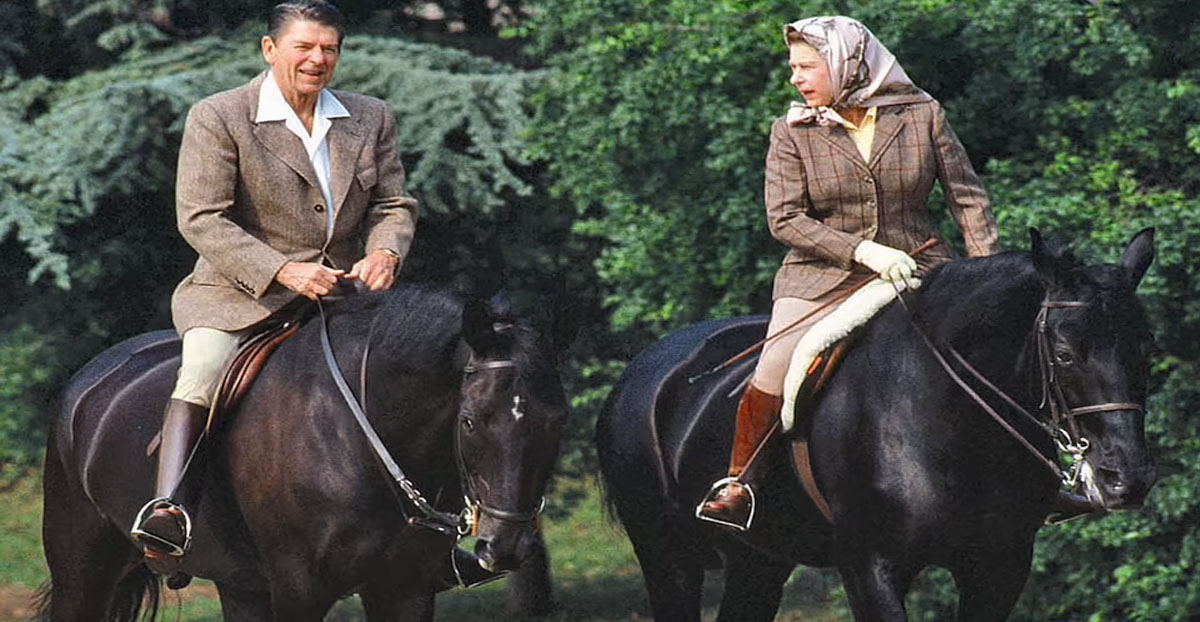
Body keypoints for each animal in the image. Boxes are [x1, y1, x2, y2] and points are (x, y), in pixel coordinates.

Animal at [32, 285, 566, 619]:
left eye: (556, 421)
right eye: (470, 421)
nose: (505, 547)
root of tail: (90, 381)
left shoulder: (404, 589)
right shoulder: (299, 588)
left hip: (240, 585)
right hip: (82, 570)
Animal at [600, 230, 1161, 622]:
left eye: (1146, 347)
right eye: (1064, 354)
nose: (1126, 481)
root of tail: (642, 370)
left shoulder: (999, 568)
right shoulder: (871, 568)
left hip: (756, 563)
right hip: (668, 560)